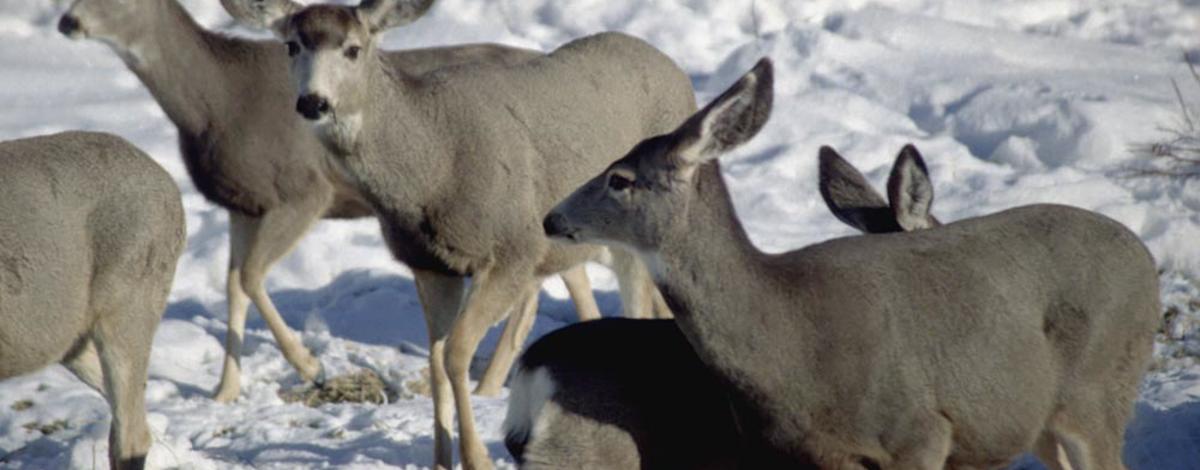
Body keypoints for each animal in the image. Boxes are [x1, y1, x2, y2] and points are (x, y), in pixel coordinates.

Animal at [57, 0, 657, 402]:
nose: (66, 22)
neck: (213, 103)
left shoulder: (303, 192)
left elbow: (248, 278)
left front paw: (310, 366)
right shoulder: (242, 204)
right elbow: (232, 284)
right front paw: (224, 393)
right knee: (565, 274)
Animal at [240, 0, 696, 465]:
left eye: (353, 48)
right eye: (292, 45)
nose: (313, 102)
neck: (433, 166)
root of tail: (675, 71)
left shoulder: (514, 248)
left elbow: (456, 353)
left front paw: (477, 458)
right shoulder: (430, 264)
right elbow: (435, 359)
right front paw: (441, 459)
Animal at [547, 58, 1161, 470]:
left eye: (619, 179)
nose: (552, 218)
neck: (789, 339)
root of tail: (1144, 258)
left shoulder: (920, 431)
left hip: (1097, 390)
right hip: (1044, 421)